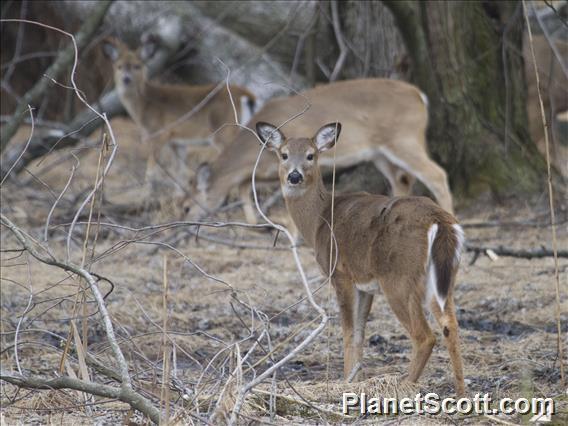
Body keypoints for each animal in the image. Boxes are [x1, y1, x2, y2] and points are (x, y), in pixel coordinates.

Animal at [101, 37, 256, 194]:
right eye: (119, 66)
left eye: (137, 66)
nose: (126, 79)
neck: (145, 105)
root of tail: (247, 95)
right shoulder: (177, 142)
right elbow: (178, 170)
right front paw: (179, 194)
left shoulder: (160, 133)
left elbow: (152, 167)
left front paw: (146, 193)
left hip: (224, 132)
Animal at [193, 78, 454, 225]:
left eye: (187, 206)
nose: (188, 218)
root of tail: (419, 96)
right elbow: (245, 185)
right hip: (379, 152)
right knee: (402, 180)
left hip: (404, 138)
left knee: (436, 174)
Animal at [255, 121, 464, 394]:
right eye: (284, 154)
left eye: (311, 155)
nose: (294, 176)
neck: (319, 220)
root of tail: (440, 221)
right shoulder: (365, 284)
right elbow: (359, 333)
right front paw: (355, 378)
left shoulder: (340, 272)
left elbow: (347, 330)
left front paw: (346, 381)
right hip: (441, 278)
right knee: (451, 325)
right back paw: (461, 391)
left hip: (399, 278)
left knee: (425, 335)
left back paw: (404, 385)